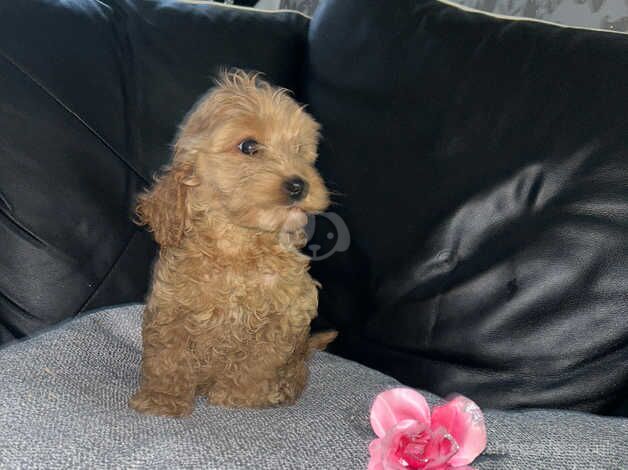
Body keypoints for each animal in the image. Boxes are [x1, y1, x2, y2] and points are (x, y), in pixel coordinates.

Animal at [127, 69, 336, 414]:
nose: (299, 185)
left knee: (297, 368)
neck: (238, 243)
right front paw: (162, 398)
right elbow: (168, 356)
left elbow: (258, 362)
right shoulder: (172, 307)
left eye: (298, 150)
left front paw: (238, 397)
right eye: (248, 146)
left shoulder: (289, 312)